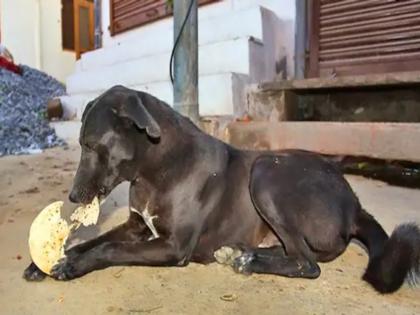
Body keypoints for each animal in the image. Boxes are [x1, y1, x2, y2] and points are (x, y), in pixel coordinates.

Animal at [23, 86, 420, 294]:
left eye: (91, 145)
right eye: (80, 144)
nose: (73, 197)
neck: (155, 167)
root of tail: (354, 204)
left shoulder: (173, 246)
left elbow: (110, 248)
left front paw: (72, 265)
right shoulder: (137, 226)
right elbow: (95, 239)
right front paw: (45, 261)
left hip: (266, 172)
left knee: (307, 264)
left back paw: (247, 260)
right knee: (296, 253)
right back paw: (242, 253)